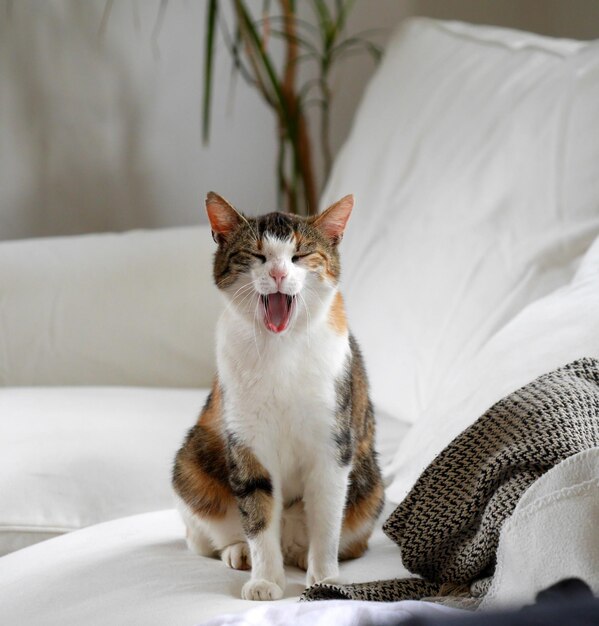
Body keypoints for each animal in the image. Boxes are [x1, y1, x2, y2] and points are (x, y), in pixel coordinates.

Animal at [172, 191, 384, 600]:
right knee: (205, 531)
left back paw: (302, 555)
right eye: (256, 255)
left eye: (300, 255)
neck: (280, 350)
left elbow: (327, 515)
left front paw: (325, 577)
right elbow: (257, 512)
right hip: (192, 463)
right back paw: (239, 551)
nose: (278, 274)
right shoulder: (247, 441)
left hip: (371, 488)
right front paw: (266, 580)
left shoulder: (333, 441)